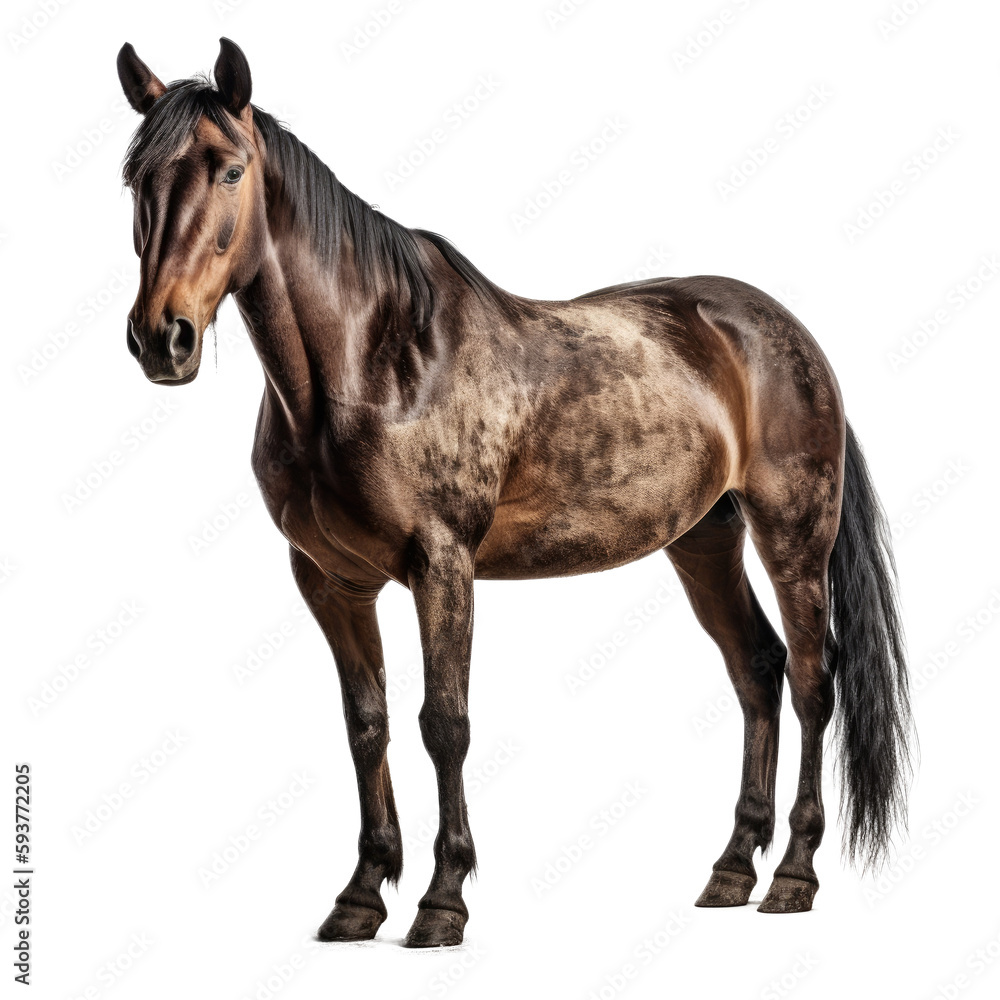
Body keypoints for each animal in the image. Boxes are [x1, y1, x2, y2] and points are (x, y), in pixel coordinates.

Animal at [116, 38, 913, 947]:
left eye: (230, 169)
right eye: (136, 176)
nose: (162, 338)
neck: (373, 364)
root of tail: (787, 333)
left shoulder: (442, 567)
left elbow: (444, 723)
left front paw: (441, 900)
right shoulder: (330, 580)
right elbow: (366, 724)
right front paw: (360, 895)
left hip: (793, 537)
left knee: (814, 679)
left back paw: (792, 875)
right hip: (704, 539)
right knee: (757, 669)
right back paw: (731, 869)